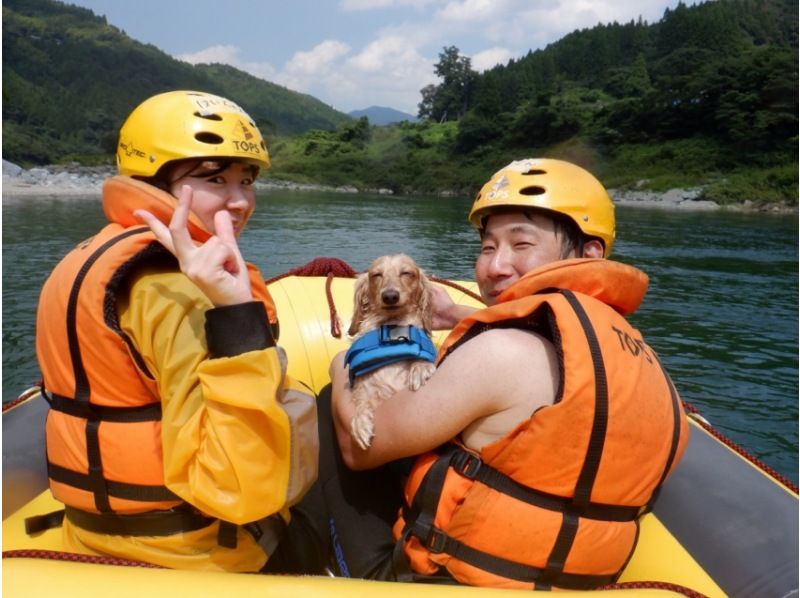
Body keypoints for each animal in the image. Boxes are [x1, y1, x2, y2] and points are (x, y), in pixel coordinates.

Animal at [348, 254, 438, 450]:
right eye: (376, 275)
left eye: (406, 273)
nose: (390, 296)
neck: (391, 332)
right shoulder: (366, 388)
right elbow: (360, 401)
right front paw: (360, 422)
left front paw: (420, 368)